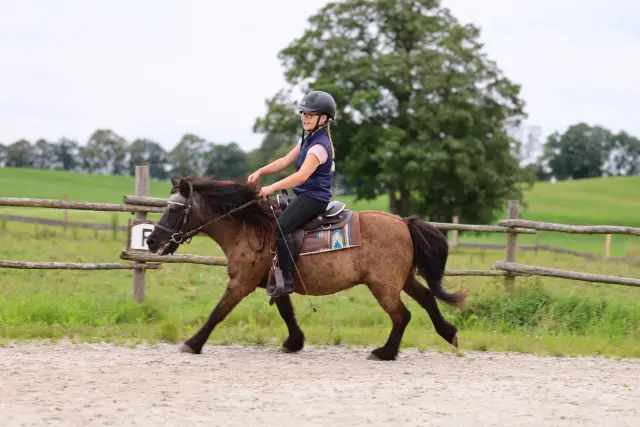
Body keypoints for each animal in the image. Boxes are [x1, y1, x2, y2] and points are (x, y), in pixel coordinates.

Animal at [145, 176, 467, 361]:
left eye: (174, 208)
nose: (151, 240)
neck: (251, 227)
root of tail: (403, 222)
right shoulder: (276, 281)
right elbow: (287, 311)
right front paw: (294, 342)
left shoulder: (241, 282)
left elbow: (218, 312)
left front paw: (192, 343)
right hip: (403, 280)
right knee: (427, 299)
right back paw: (448, 333)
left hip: (384, 287)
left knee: (403, 315)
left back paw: (385, 352)